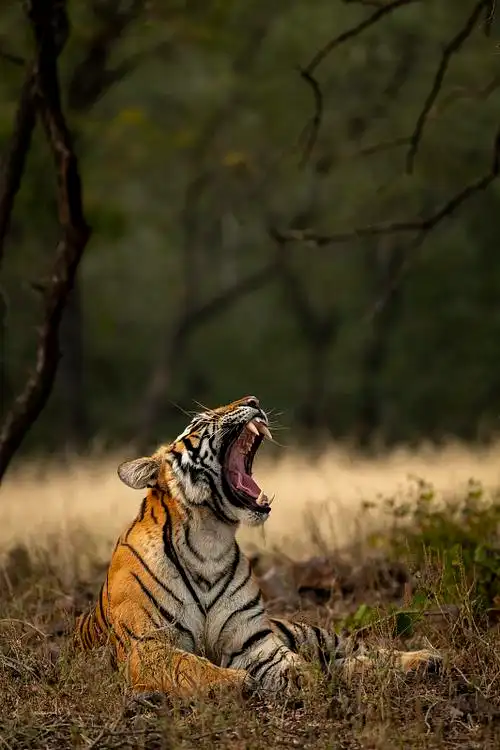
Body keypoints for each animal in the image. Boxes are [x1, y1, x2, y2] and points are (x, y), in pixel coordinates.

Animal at [75, 395, 441, 699]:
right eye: (201, 420)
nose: (253, 400)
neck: (209, 541)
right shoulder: (147, 645)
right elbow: (189, 666)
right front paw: (235, 681)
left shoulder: (254, 642)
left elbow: (294, 665)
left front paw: (308, 680)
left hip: (311, 632)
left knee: (361, 649)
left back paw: (424, 659)